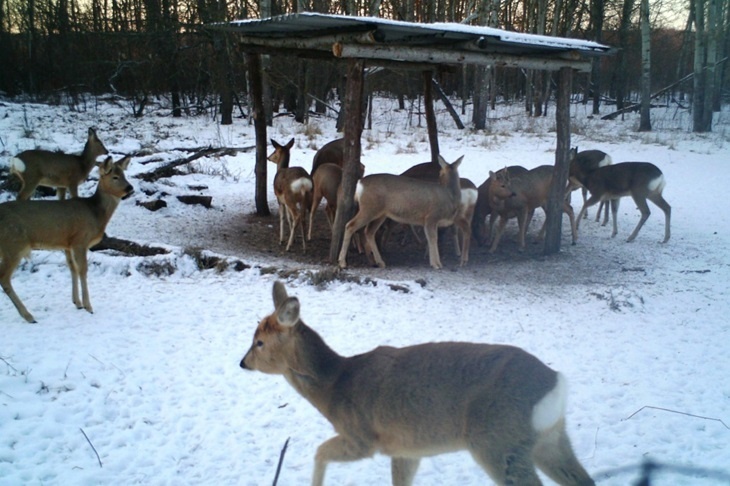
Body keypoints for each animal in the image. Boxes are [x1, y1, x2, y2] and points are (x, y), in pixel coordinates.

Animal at [0, 156, 133, 322]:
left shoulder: (67, 243)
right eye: (115, 177)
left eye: (124, 175)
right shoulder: (80, 240)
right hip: (13, 244)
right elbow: (83, 270)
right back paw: (28, 316)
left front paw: (77, 302)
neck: (96, 214)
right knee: (4, 278)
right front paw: (88, 306)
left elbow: (72, 268)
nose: (130, 188)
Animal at [242, 280, 596, 486]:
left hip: (497, 440)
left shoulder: (363, 437)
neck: (336, 386)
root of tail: (555, 384)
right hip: (549, 439)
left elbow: (318, 453)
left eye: (259, 342)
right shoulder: (405, 447)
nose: (242, 362)